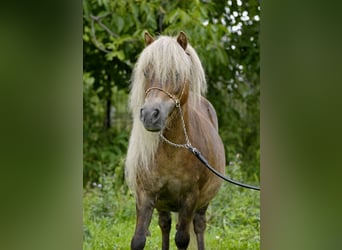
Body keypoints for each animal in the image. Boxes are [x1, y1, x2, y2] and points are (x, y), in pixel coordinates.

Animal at [124, 31, 226, 250]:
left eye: (177, 74)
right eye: (146, 72)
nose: (150, 115)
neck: (172, 151)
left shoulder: (189, 198)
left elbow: (182, 239)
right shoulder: (145, 195)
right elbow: (138, 240)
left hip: (202, 203)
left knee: (199, 226)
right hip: (163, 205)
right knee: (165, 225)